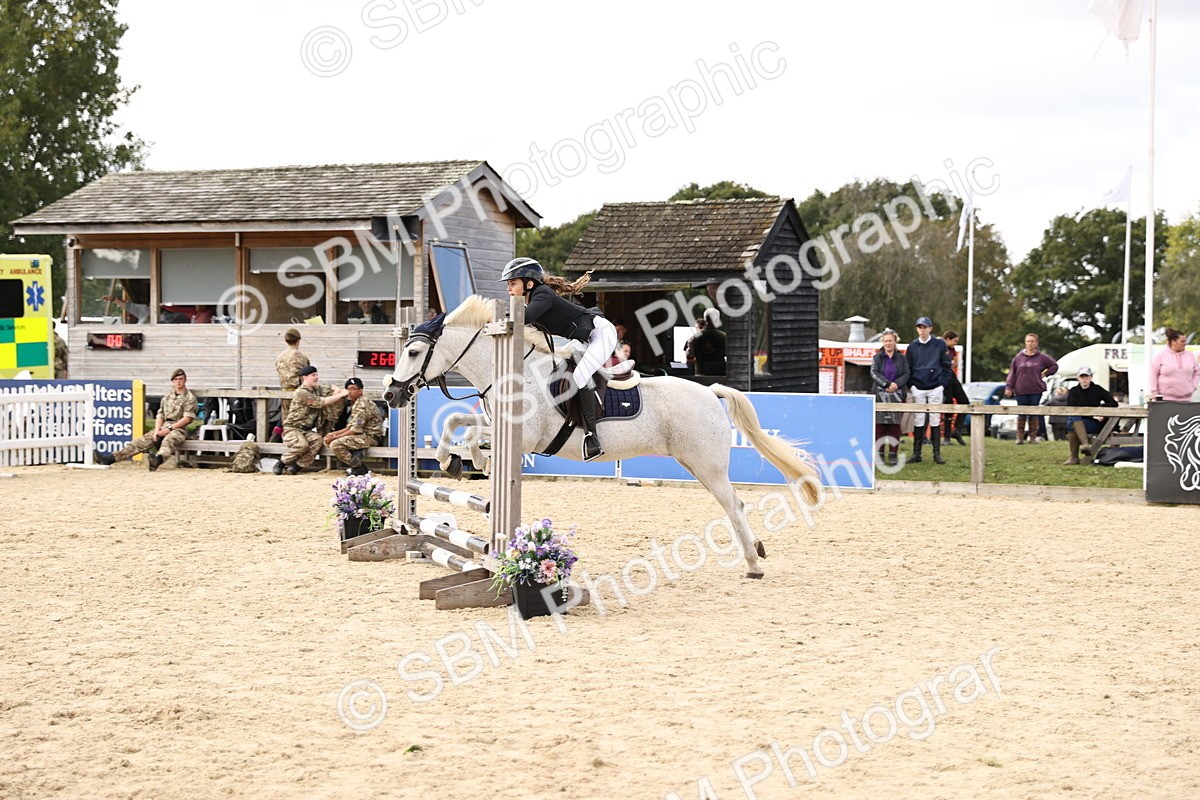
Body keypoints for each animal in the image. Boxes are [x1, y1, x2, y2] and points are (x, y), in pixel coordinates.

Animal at [384, 296, 822, 578]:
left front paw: (471, 460)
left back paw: (753, 563)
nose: (391, 395)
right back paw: (756, 551)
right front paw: (453, 459)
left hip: (708, 465)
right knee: (734, 504)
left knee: (734, 505)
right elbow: (458, 421)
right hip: (694, 463)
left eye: (412, 353)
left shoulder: (525, 439)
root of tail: (711, 392)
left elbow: (473, 431)